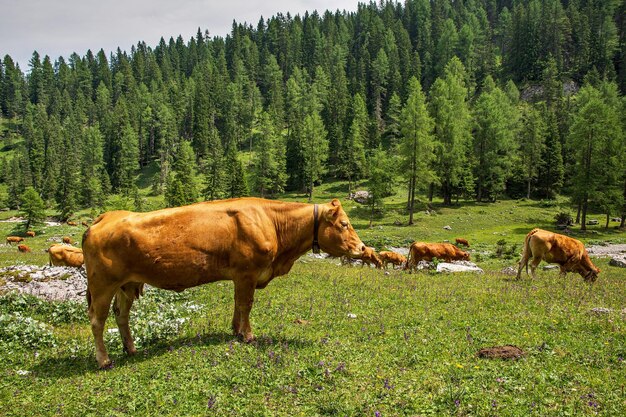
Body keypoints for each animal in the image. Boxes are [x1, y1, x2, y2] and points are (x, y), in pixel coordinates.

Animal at [83, 197, 366, 366]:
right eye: (344, 223)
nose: (363, 248)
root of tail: (103, 218)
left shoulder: (240, 276)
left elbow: (237, 303)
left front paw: (236, 329)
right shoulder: (248, 272)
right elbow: (246, 304)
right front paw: (248, 335)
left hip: (126, 285)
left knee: (121, 315)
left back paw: (131, 349)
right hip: (102, 286)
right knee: (98, 320)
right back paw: (104, 360)